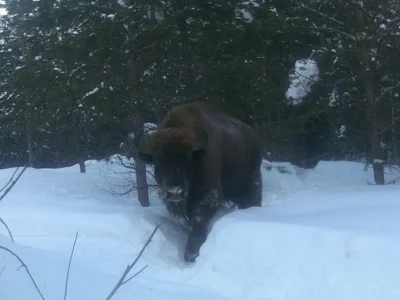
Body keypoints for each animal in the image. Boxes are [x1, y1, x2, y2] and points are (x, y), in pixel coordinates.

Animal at [134, 102, 262, 262]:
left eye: (187, 158)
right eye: (157, 159)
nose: (175, 192)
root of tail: (253, 135)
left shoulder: (210, 196)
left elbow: (198, 220)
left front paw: (191, 255)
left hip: (253, 181)